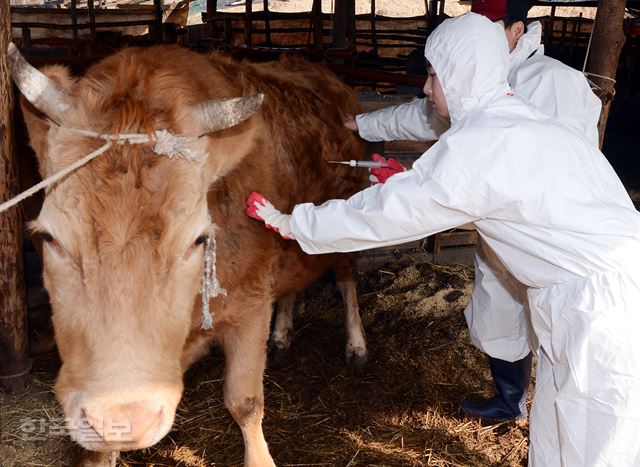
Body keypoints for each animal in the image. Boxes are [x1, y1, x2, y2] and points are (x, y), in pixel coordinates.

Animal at [8, 43, 370, 464]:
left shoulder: (251, 306)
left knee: (346, 280)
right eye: (50, 238)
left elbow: (245, 401)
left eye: (197, 240)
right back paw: (282, 334)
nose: (126, 419)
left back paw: (356, 345)